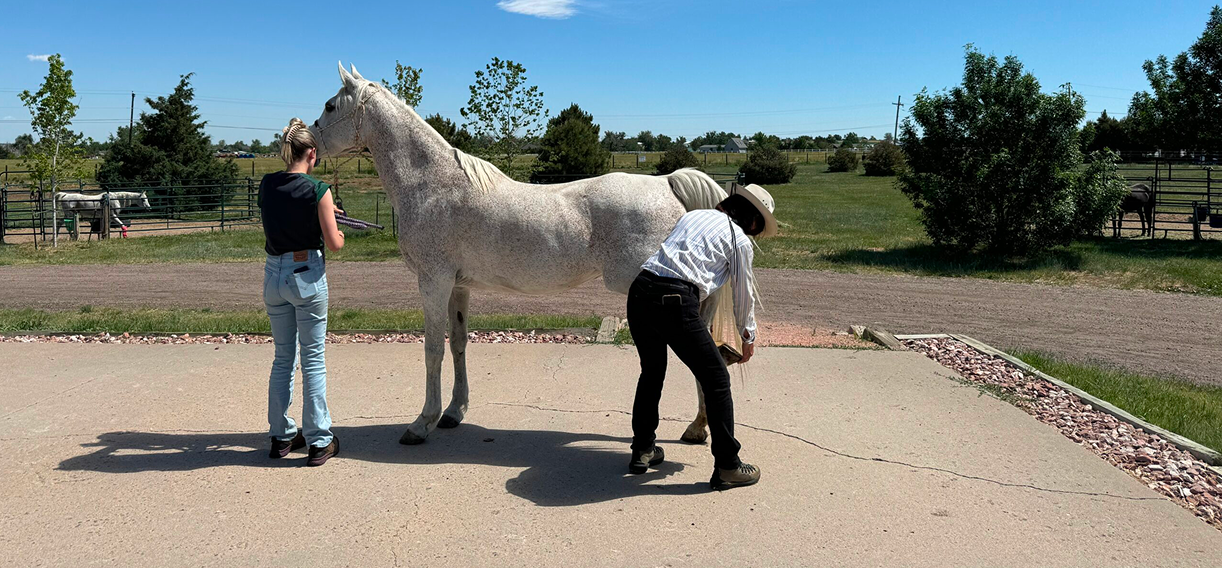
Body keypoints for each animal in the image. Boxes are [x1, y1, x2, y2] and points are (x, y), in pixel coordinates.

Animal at [311, 63, 739, 445]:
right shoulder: (458, 287)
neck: (433, 184)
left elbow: (433, 349)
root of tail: (667, 184)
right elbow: (458, 343)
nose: (309, 138)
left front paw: (421, 424)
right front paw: (453, 412)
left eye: (330, 106)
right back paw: (698, 427)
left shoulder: (433, 282)